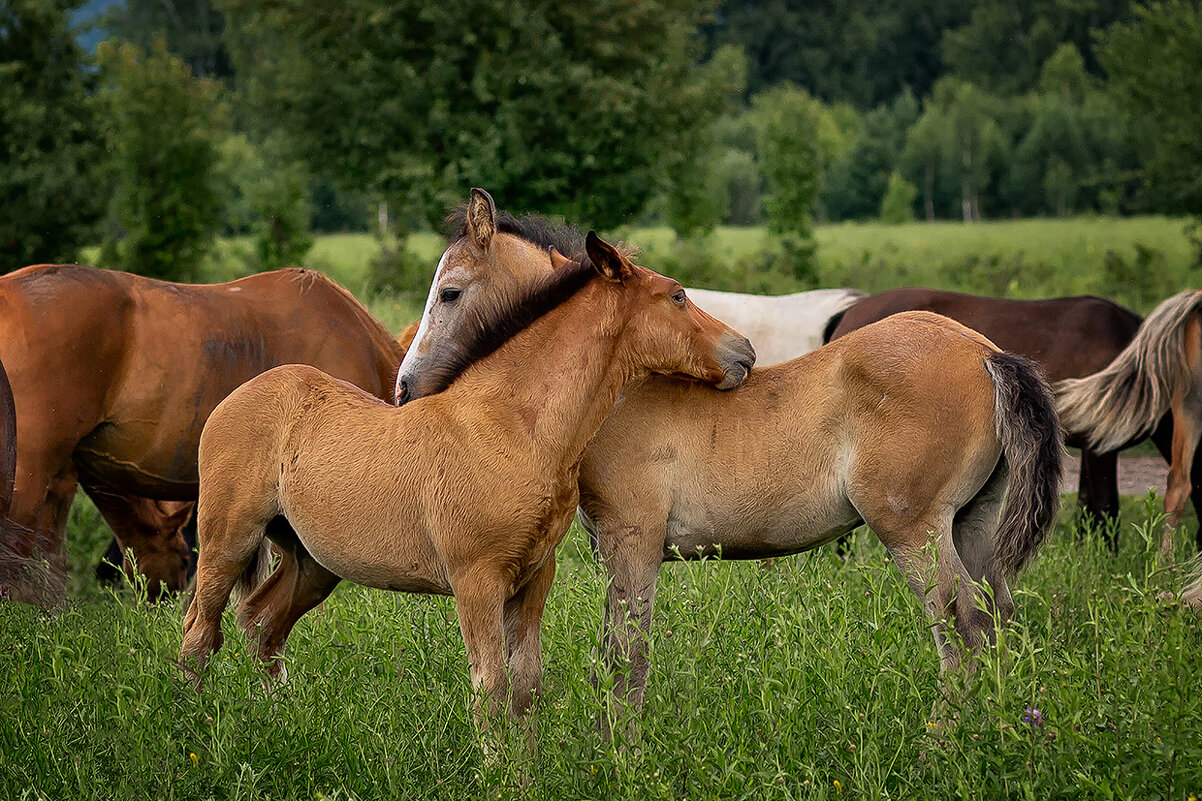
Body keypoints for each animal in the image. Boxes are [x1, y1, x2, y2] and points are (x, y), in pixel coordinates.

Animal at [177, 187, 750, 736]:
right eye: (677, 295)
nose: (743, 351)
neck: (513, 425)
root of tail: (242, 394)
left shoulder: (534, 575)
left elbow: (526, 684)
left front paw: (526, 765)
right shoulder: (477, 580)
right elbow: (490, 689)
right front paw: (495, 766)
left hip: (312, 562)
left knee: (260, 624)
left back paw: (274, 721)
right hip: (228, 540)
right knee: (198, 634)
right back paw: (197, 729)